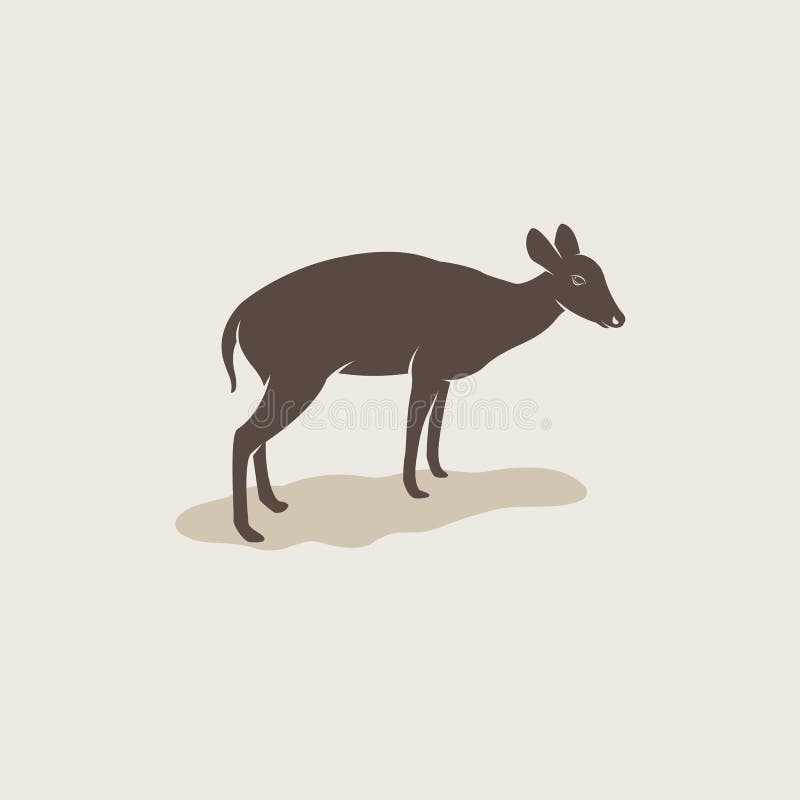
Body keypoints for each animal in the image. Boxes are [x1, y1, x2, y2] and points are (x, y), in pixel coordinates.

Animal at [221, 224, 625, 542]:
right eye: (577, 278)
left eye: (600, 272)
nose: (618, 318)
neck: (496, 312)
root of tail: (239, 315)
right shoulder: (425, 366)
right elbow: (414, 425)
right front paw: (414, 489)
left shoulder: (444, 374)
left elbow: (437, 423)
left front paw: (438, 472)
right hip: (298, 378)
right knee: (244, 436)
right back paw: (249, 530)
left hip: (280, 380)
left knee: (259, 437)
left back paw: (274, 504)